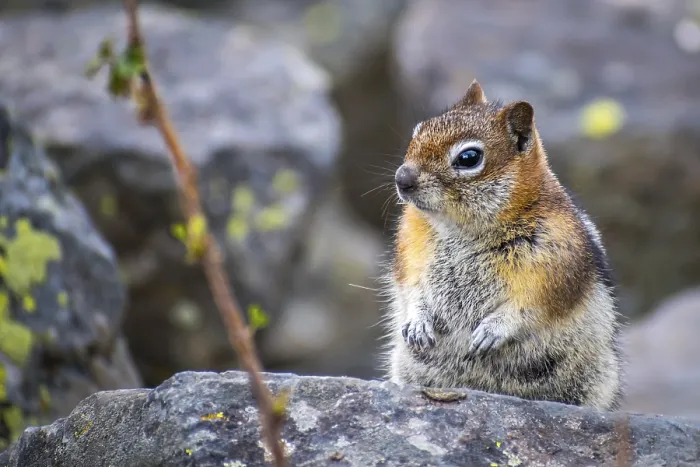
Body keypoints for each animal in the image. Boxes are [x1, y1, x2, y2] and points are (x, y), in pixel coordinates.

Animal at [382, 81, 623, 411]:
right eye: (418, 130)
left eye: (469, 158)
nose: (401, 178)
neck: (461, 228)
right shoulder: (410, 249)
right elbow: (411, 288)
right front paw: (417, 323)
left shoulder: (557, 262)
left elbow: (533, 304)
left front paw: (492, 330)